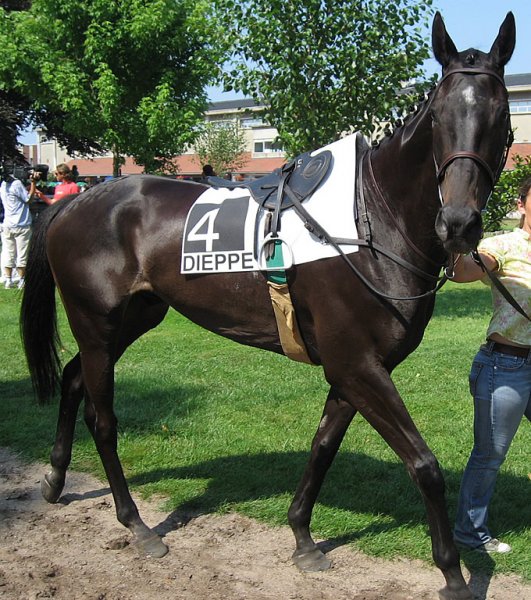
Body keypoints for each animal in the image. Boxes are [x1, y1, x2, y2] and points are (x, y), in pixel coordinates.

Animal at [20, 11, 516, 600]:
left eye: (501, 115)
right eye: (438, 116)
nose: (458, 223)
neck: (371, 221)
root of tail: (77, 200)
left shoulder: (353, 370)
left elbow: (323, 446)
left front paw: (302, 537)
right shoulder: (358, 366)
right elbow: (425, 464)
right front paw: (452, 573)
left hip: (131, 319)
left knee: (73, 379)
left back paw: (54, 479)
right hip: (97, 323)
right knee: (103, 418)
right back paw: (136, 524)